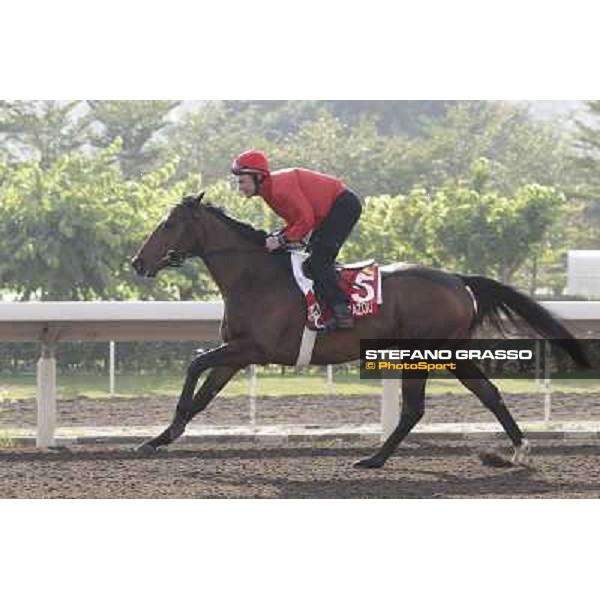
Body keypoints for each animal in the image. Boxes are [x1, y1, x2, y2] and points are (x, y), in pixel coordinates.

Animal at [132, 192, 592, 468]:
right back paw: (519, 450)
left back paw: (374, 459)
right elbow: (204, 395)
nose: (138, 262)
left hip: (420, 353)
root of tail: (459, 280)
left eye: (168, 225)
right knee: (488, 393)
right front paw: (158, 439)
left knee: (414, 409)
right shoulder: (236, 351)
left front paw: (171, 429)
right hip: (451, 352)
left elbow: (195, 366)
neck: (255, 275)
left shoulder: (253, 348)